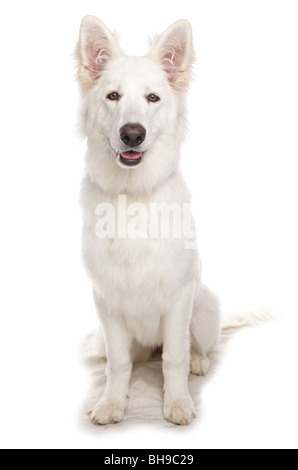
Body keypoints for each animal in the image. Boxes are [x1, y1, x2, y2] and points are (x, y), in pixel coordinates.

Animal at [77, 14, 221, 426]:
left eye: (152, 98)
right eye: (113, 97)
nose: (132, 134)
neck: (133, 197)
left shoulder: (178, 297)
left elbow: (173, 356)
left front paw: (177, 402)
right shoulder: (106, 300)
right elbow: (118, 362)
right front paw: (112, 402)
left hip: (204, 308)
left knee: (192, 348)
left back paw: (199, 362)